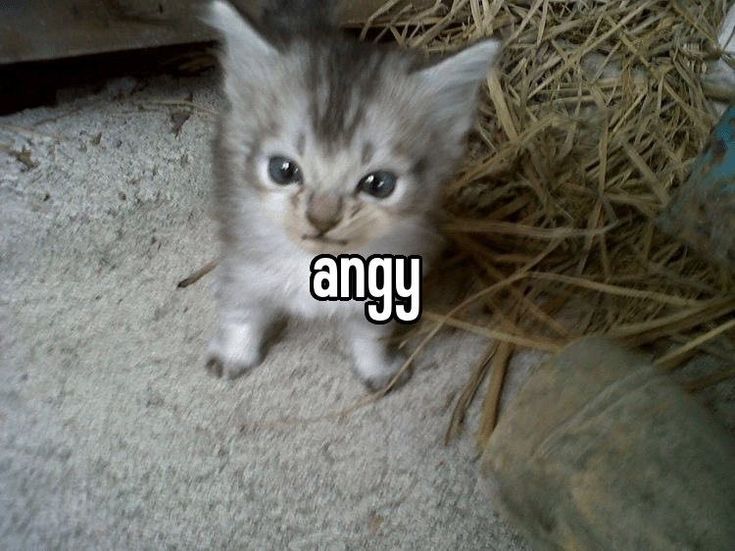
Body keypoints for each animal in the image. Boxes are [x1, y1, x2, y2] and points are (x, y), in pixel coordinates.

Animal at [201, 0, 500, 390]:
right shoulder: (245, 265)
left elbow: (370, 335)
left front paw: (378, 367)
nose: (321, 219)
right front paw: (234, 354)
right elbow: (241, 311)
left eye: (379, 184)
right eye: (283, 170)